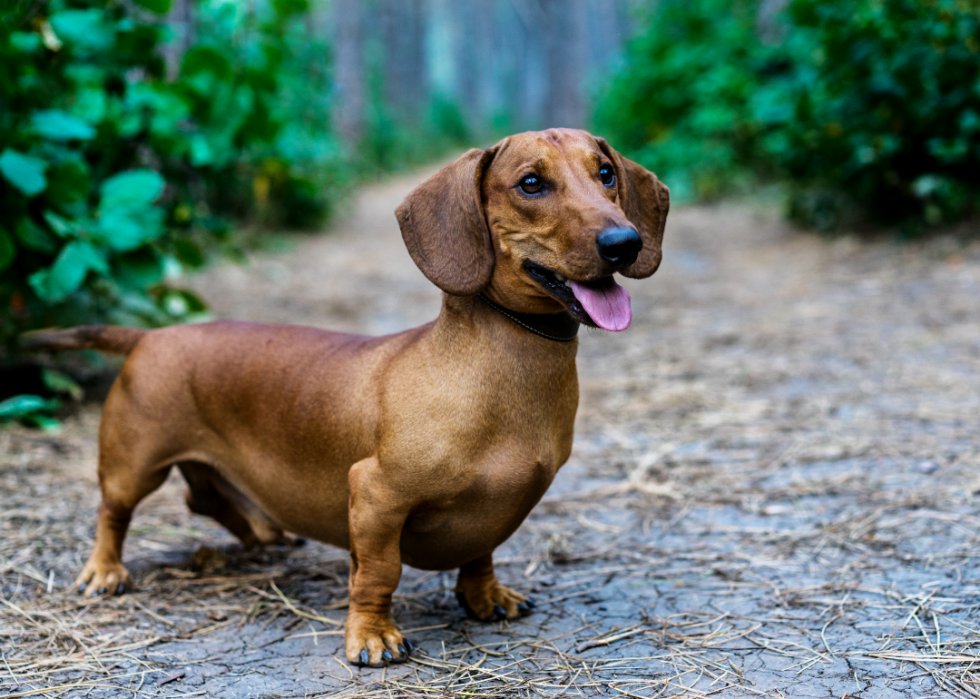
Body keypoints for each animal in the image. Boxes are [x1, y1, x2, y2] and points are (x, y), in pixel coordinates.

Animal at [24, 129, 668, 668]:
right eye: (531, 183)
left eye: (606, 173)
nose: (624, 242)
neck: (497, 368)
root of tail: (151, 335)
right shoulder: (376, 495)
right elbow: (377, 574)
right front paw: (372, 637)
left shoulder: (496, 512)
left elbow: (480, 552)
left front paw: (486, 597)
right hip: (133, 464)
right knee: (114, 512)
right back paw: (104, 571)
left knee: (203, 499)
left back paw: (262, 534)